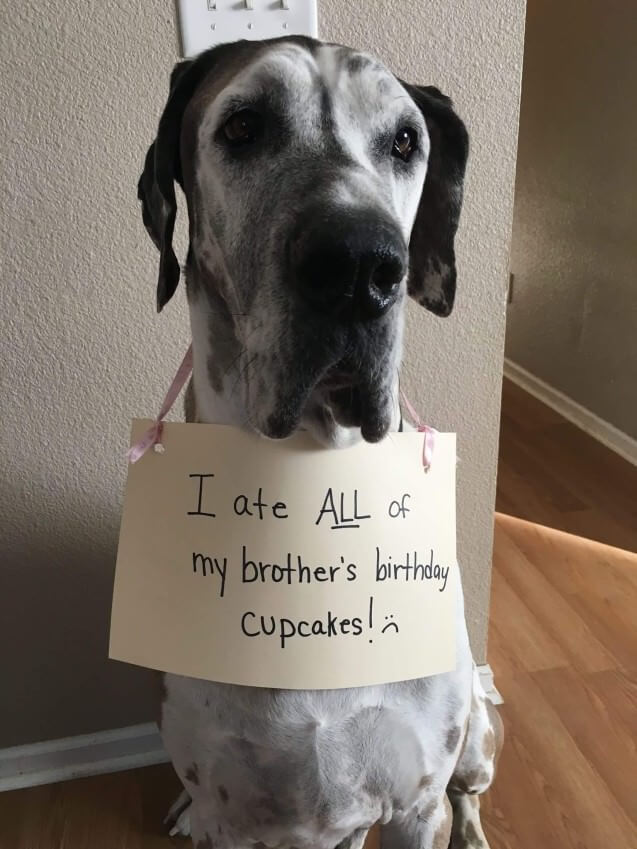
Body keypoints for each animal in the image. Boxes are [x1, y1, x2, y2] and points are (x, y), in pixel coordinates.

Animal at [139, 36, 502, 848]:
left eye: (404, 142)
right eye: (243, 127)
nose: (360, 268)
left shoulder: (414, 807)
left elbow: (430, 800)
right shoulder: (234, 817)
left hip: (475, 738)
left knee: (470, 788)